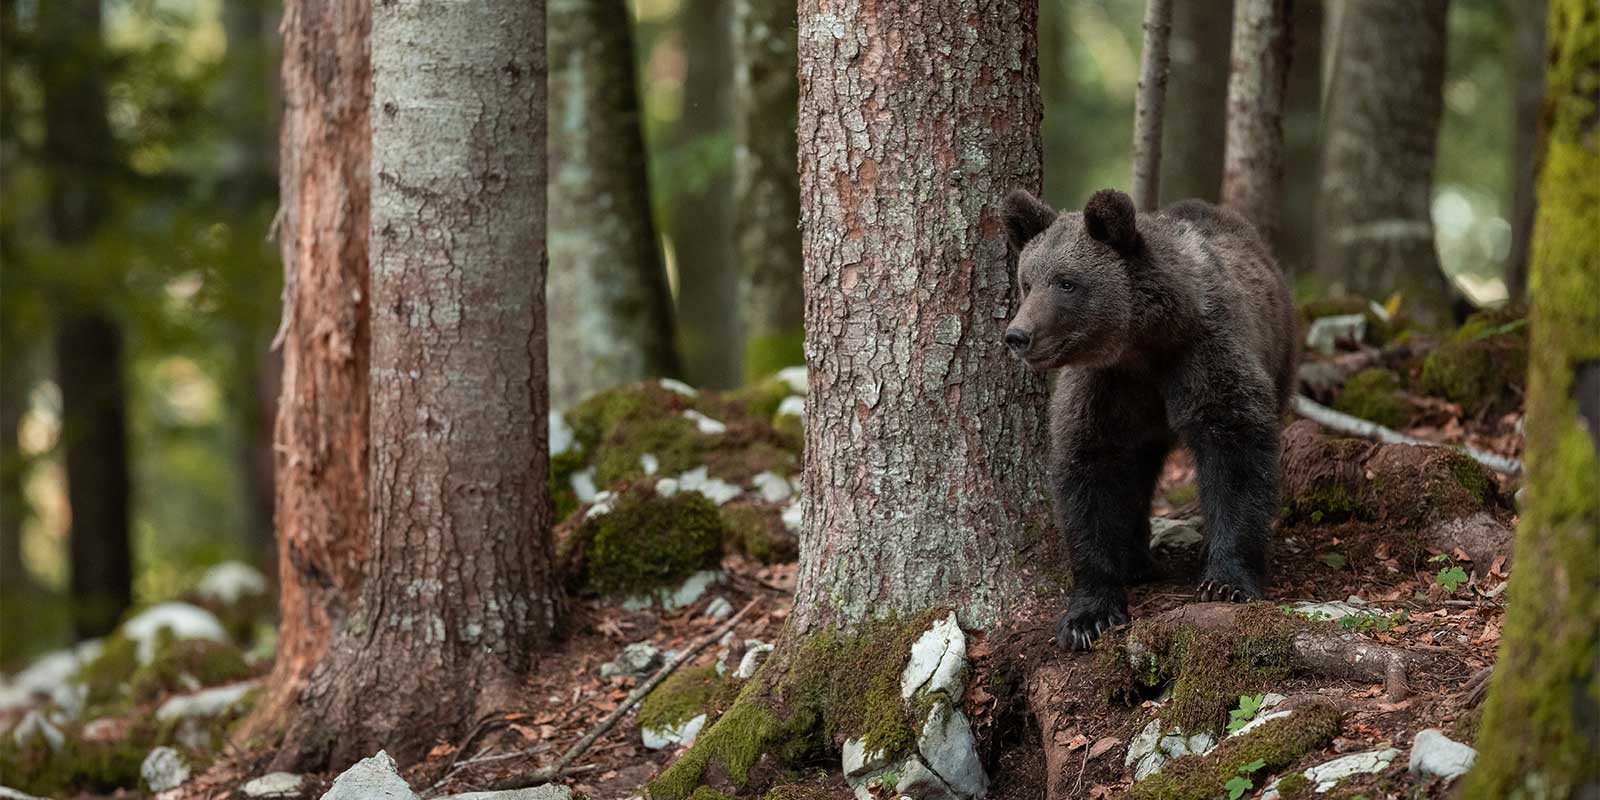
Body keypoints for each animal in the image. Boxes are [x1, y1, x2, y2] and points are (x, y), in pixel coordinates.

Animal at [1001, 187, 1297, 650]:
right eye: (1027, 281)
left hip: (1280, 353)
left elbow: (1236, 452)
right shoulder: (1105, 389)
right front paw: (1089, 615)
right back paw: (1134, 557)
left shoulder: (1202, 357)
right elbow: (1089, 473)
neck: (1142, 346)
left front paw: (1226, 581)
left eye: (1067, 282)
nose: (1018, 335)